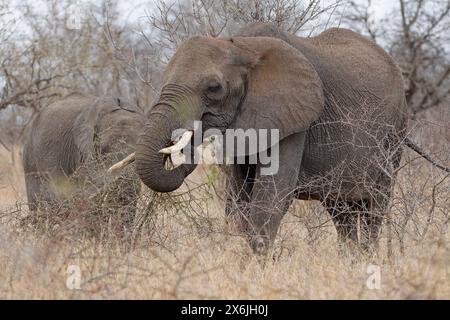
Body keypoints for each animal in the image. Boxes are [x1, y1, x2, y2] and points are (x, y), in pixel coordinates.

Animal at [132, 23, 410, 255]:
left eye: (214, 88)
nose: (184, 146)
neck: (242, 45)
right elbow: (238, 200)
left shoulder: (295, 118)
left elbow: (271, 198)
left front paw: (253, 269)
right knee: (340, 209)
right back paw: (351, 260)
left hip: (394, 133)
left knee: (375, 205)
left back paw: (367, 259)